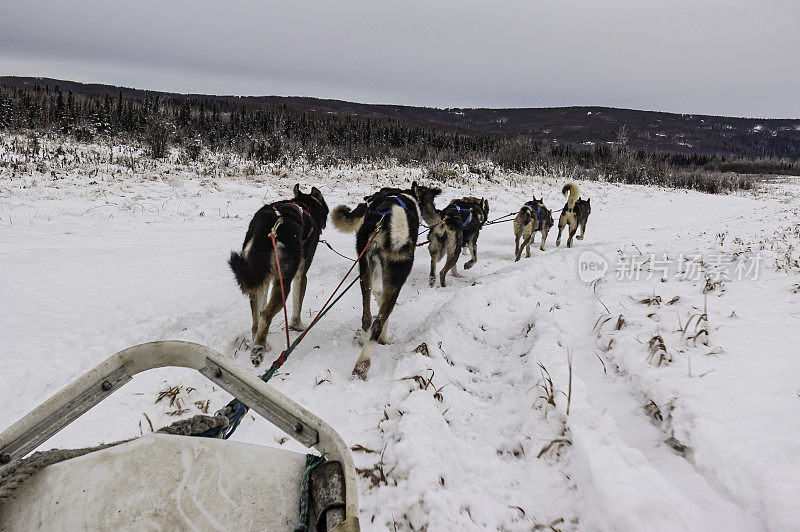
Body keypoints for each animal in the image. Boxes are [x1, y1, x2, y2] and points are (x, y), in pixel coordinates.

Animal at [230, 184, 330, 366]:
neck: (305, 206)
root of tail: (270, 226)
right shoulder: (301, 275)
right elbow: (297, 307)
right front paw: (299, 327)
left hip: (257, 280)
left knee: (257, 320)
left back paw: (259, 342)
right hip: (283, 283)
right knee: (266, 315)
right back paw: (258, 350)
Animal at [330, 185, 434, 380]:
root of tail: (385, 223)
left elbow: (378, 298)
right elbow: (384, 312)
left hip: (364, 272)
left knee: (367, 317)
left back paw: (363, 342)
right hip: (395, 281)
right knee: (377, 323)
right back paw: (364, 363)